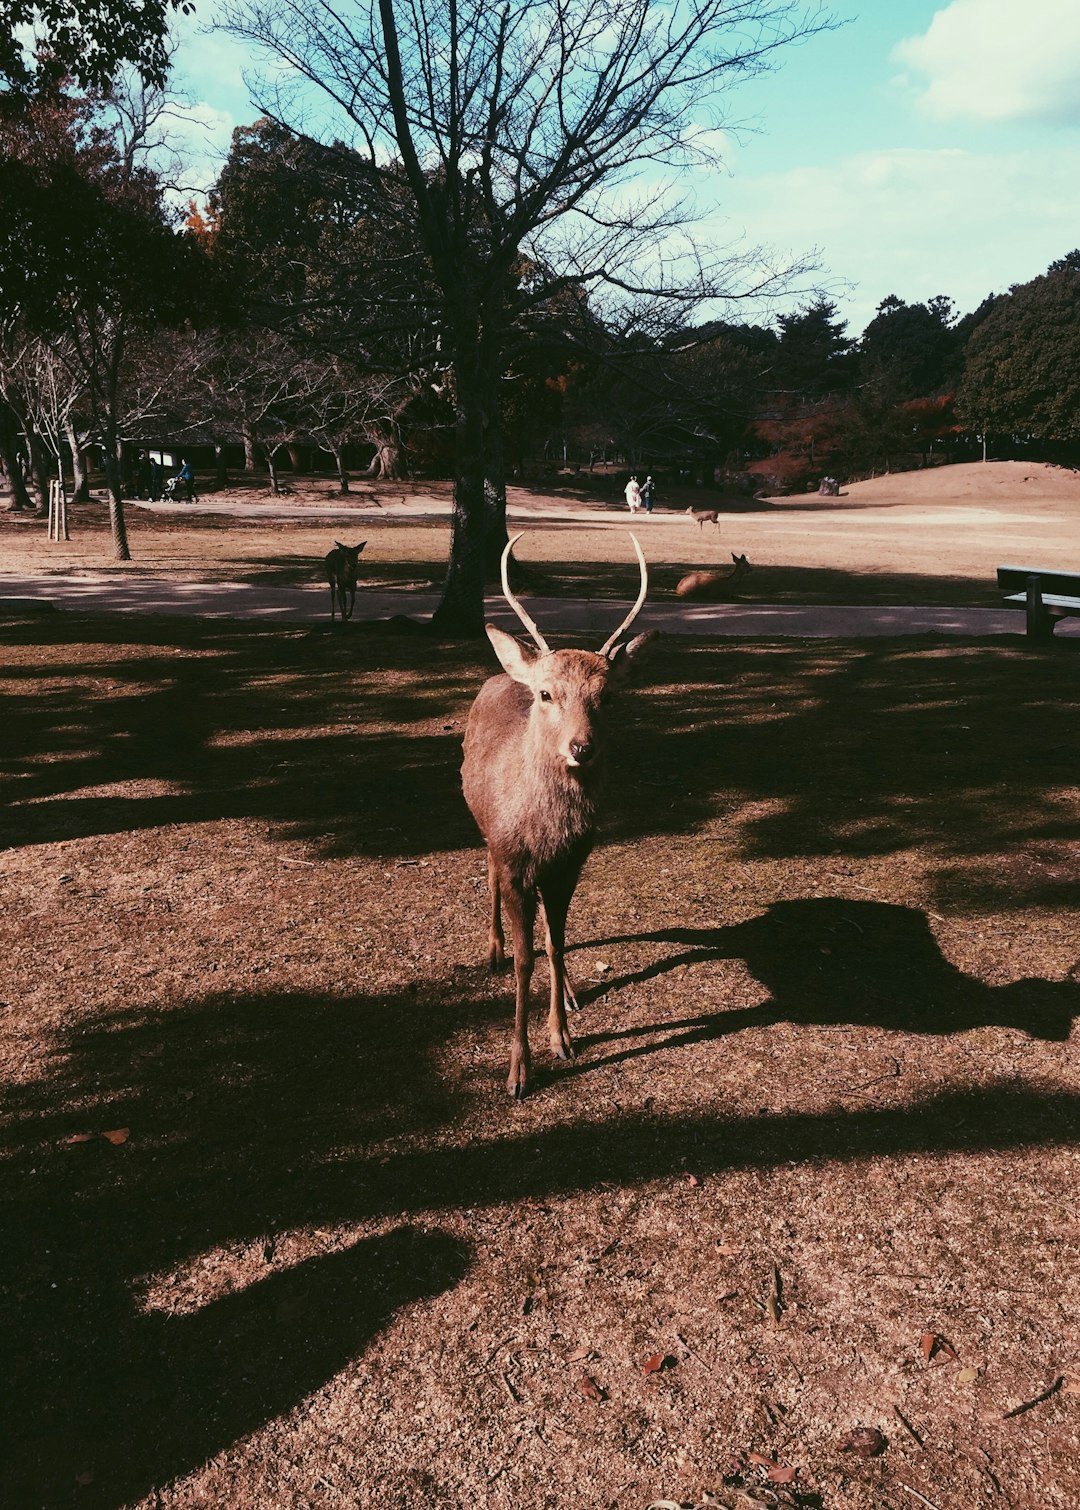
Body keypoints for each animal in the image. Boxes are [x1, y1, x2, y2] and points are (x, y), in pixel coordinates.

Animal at [459, 534, 655, 1099]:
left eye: (607, 696)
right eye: (546, 693)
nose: (581, 747)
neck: (547, 834)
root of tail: (503, 673)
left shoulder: (571, 865)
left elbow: (558, 940)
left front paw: (563, 1036)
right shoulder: (514, 859)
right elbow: (526, 960)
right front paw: (518, 1071)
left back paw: (568, 989)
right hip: (484, 830)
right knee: (486, 873)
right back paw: (494, 949)